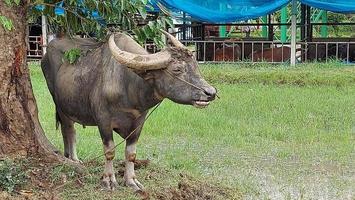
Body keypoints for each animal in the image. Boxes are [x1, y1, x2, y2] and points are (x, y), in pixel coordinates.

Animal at [40, 31, 216, 192]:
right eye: (177, 69)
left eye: (196, 66)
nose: (211, 92)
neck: (129, 85)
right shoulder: (103, 120)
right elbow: (109, 151)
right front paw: (109, 180)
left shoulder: (139, 122)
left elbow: (131, 153)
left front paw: (131, 181)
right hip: (60, 105)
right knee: (68, 130)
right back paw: (73, 159)